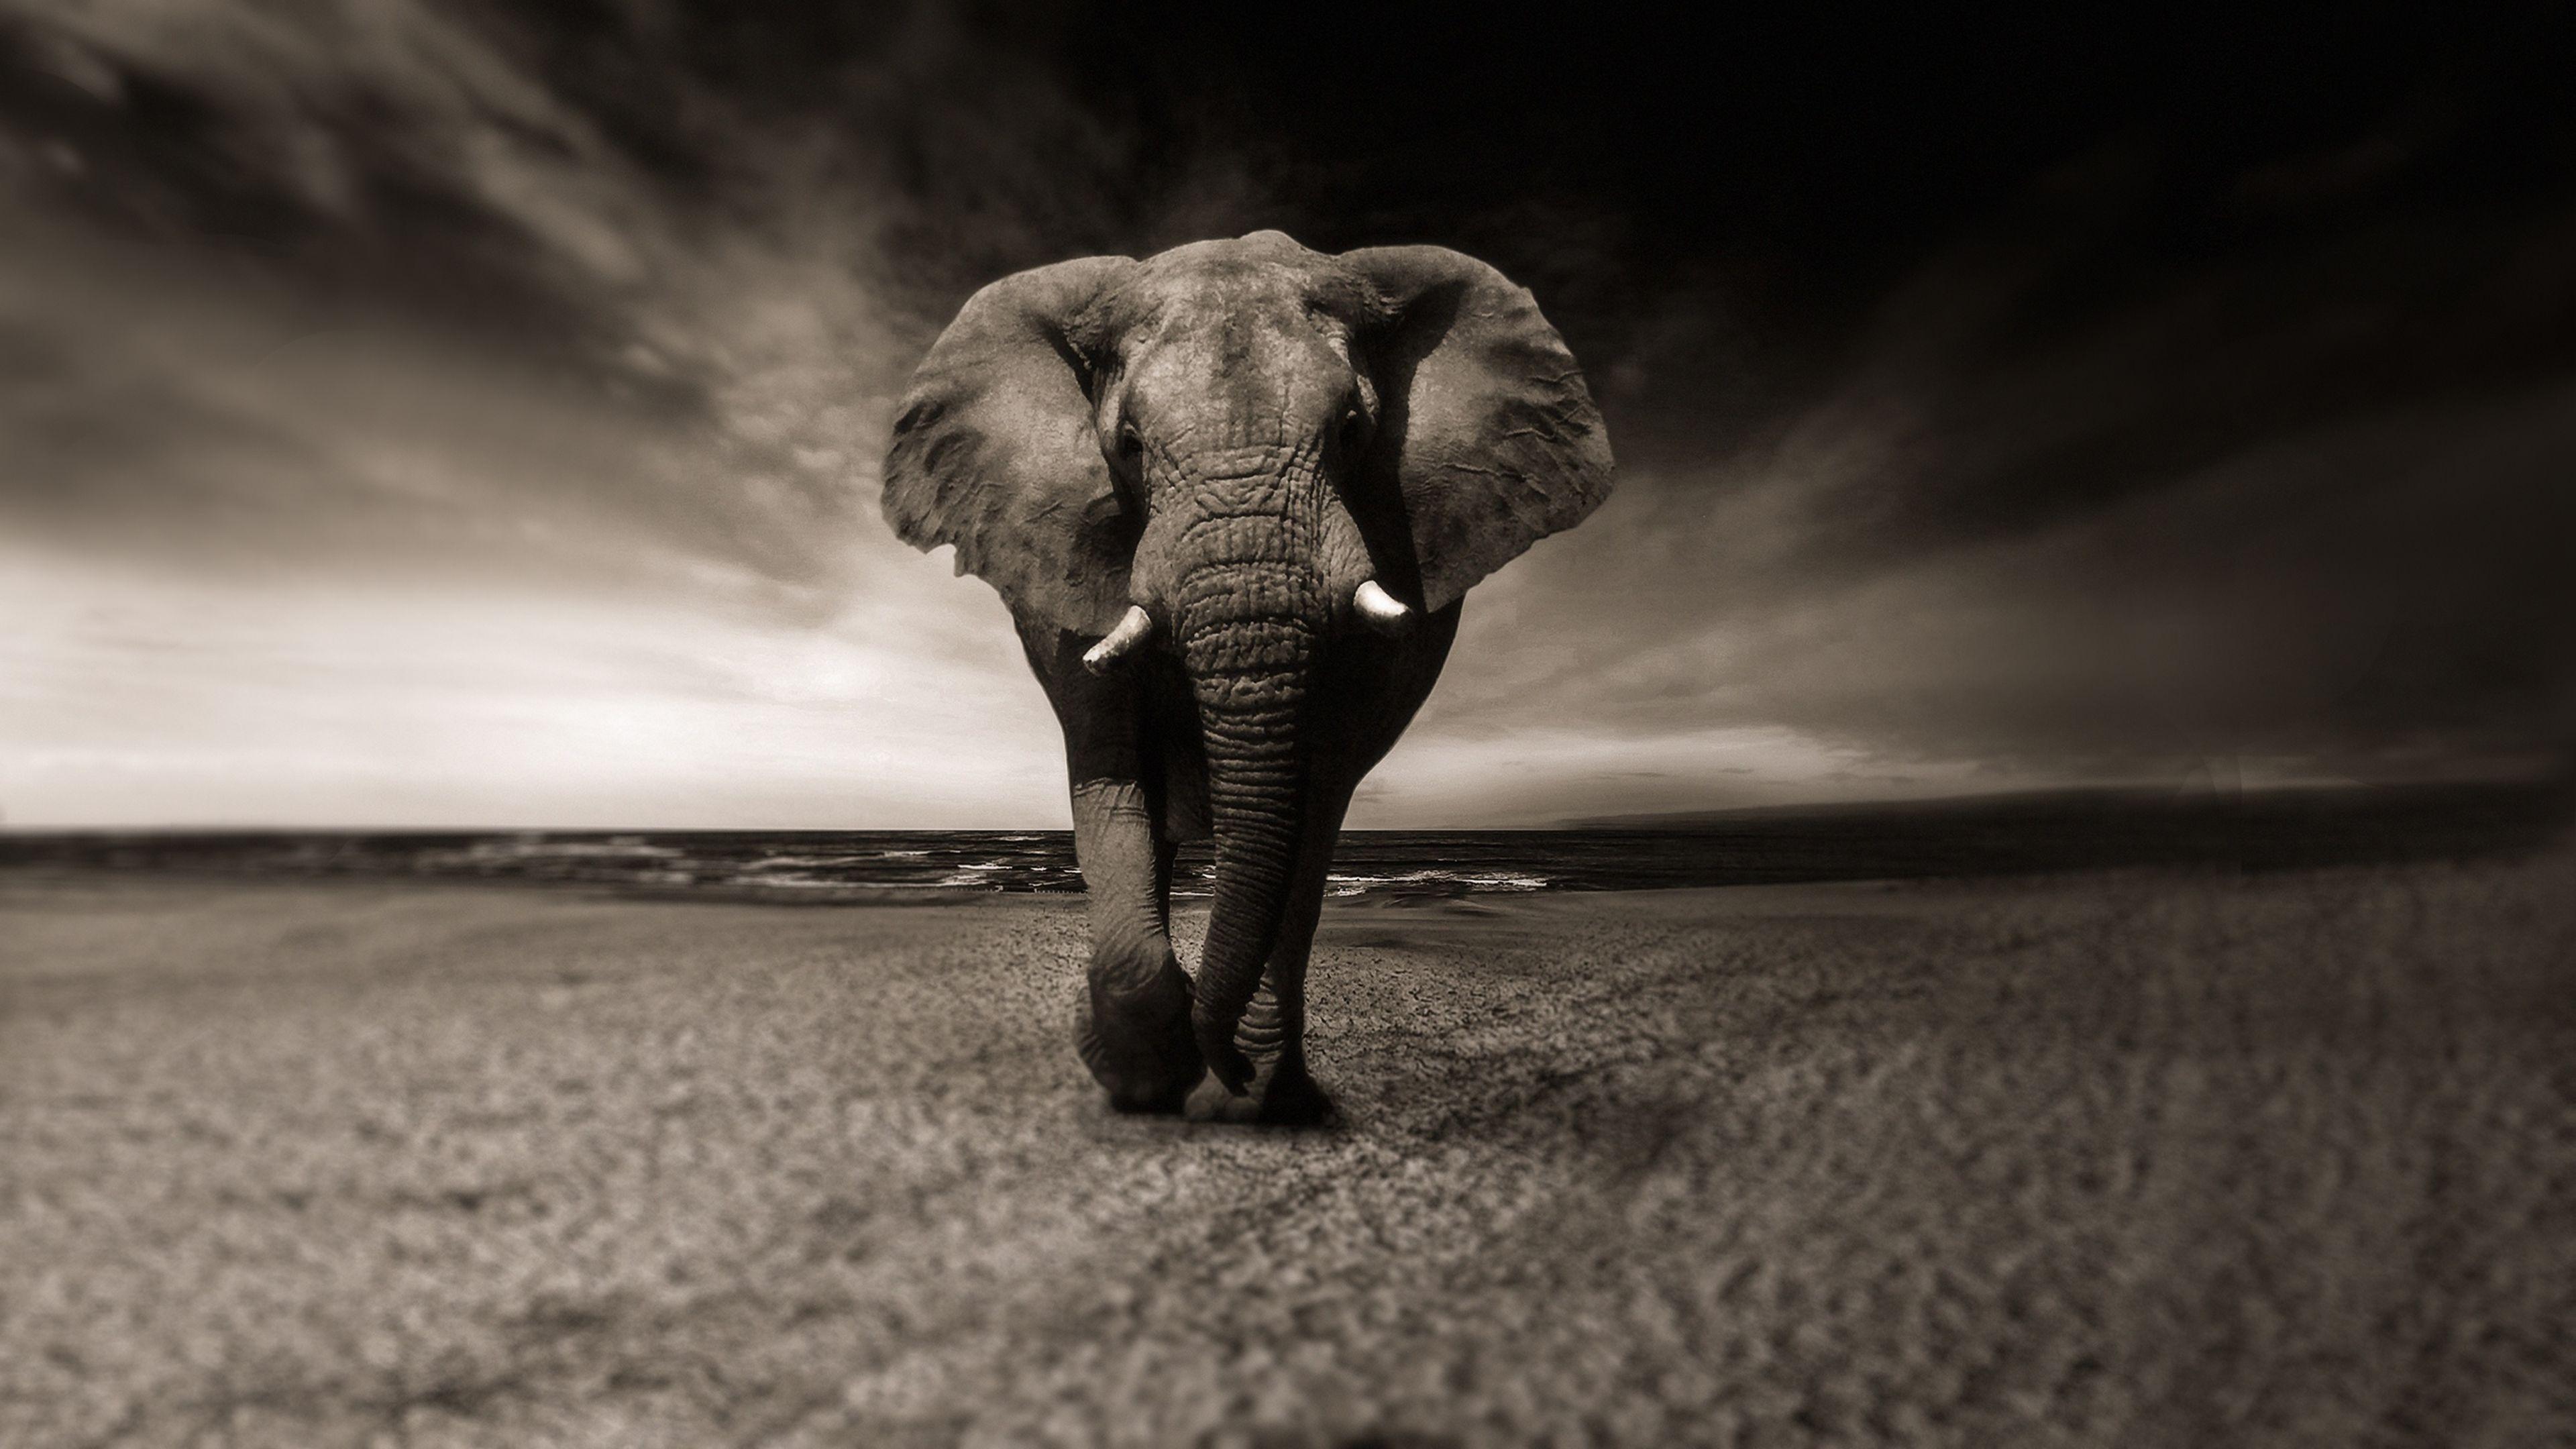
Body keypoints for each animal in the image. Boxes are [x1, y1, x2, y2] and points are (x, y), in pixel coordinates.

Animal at [880, 230, 1613, 1123]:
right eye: (1128, 445)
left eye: (1353, 430)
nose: (1221, 1061)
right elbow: (1110, 768)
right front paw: (1146, 1077)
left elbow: (1314, 794)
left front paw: (1249, 1091)